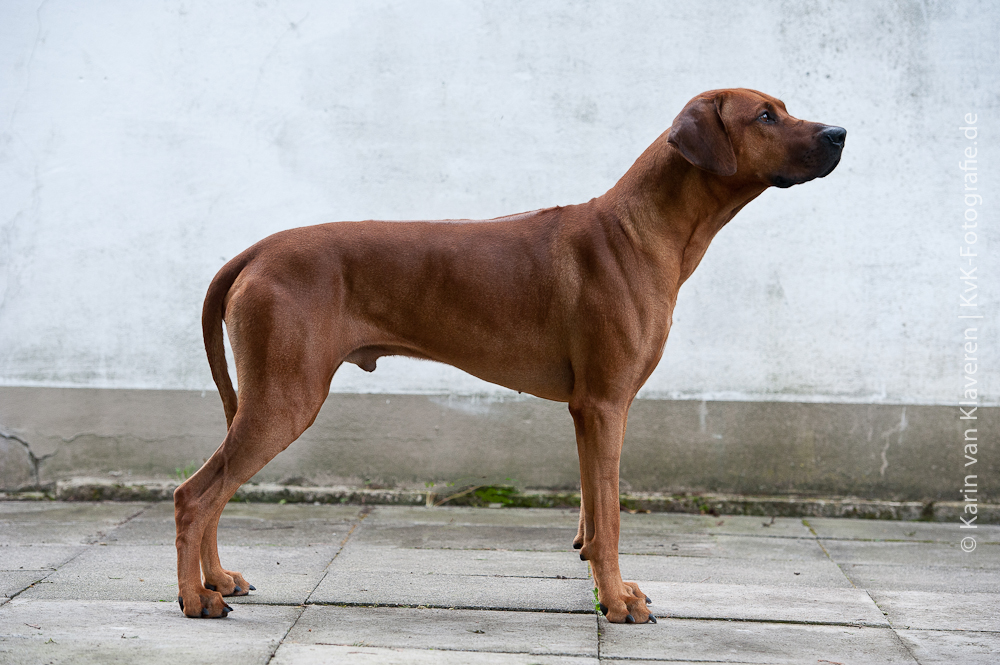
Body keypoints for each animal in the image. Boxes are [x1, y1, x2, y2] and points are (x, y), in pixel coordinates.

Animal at [174, 88, 845, 621]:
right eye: (766, 115)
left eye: (784, 108)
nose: (840, 133)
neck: (641, 228)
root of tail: (257, 250)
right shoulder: (607, 404)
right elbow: (612, 515)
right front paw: (617, 604)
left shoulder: (586, 411)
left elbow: (593, 512)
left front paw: (609, 587)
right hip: (287, 399)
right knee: (195, 495)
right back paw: (195, 598)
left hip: (262, 397)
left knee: (215, 488)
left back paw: (216, 578)